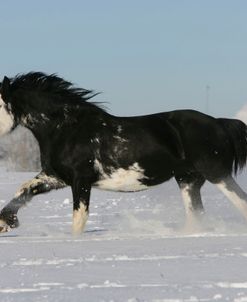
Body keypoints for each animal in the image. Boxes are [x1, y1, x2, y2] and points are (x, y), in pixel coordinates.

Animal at [0, 71, 247, 236]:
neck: (68, 128)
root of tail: (219, 123)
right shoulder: (56, 177)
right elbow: (24, 190)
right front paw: (7, 222)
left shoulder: (81, 180)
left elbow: (79, 217)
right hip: (188, 180)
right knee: (196, 216)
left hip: (218, 174)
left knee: (241, 202)